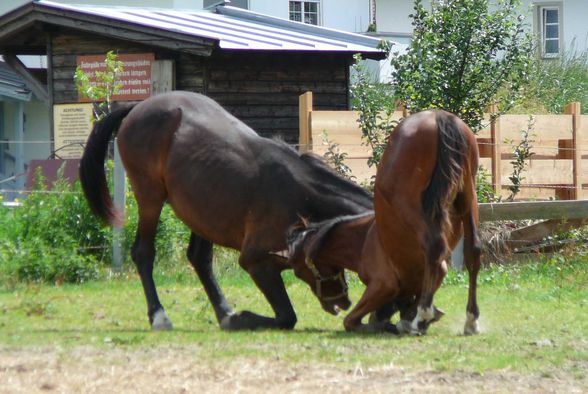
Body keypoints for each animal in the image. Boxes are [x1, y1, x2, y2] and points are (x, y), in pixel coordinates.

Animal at [80, 91, 372, 330]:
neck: (303, 199)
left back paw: (223, 312)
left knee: (199, 258)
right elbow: (287, 317)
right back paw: (160, 316)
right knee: (143, 252)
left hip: (202, 213)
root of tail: (139, 106)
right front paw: (244, 318)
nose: (343, 302)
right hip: (150, 197)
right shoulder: (256, 262)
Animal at [286, 108, 482, 336]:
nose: (336, 305)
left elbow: (351, 321)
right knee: (473, 251)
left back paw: (422, 318)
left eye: (300, 271)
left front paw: (405, 321)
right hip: (468, 196)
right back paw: (471, 321)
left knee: (435, 246)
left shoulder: (382, 285)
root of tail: (437, 115)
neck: (364, 239)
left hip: (408, 204)